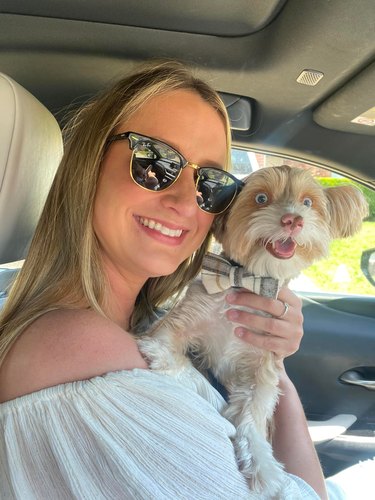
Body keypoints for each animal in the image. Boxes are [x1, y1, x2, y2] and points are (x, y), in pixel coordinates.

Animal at [137, 166, 368, 498]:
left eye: (308, 203)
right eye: (261, 198)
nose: (293, 220)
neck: (247, 281)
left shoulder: (261, 366)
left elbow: (252, 414)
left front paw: (264, 467)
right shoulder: (177, 322)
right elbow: (172, 352)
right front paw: (165, 359)